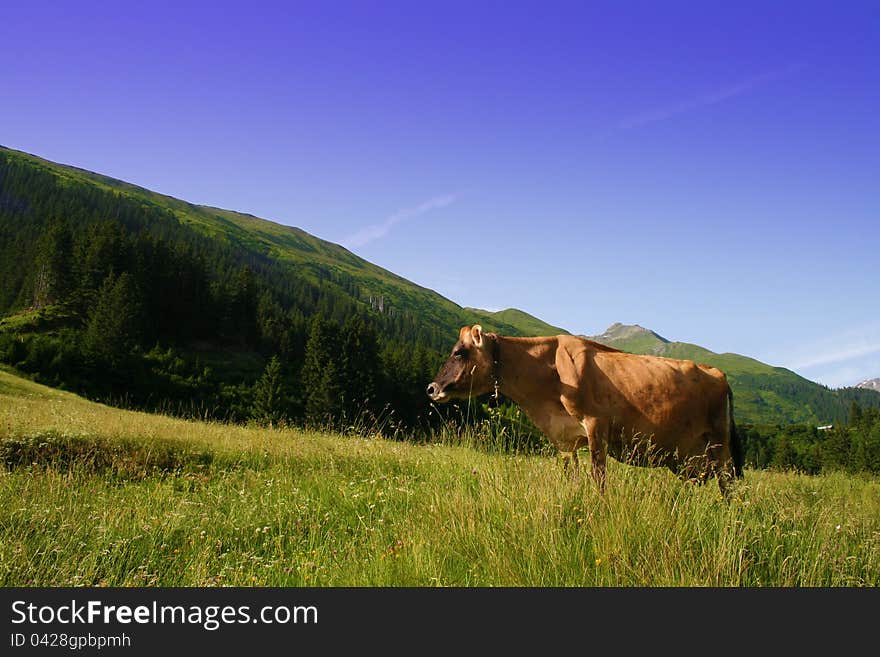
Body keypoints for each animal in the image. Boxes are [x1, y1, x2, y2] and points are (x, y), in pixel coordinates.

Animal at [426, 326, 744, 494]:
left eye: (459, 352)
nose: (431, 388)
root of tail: (718, 373)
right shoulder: (564, 439)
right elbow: (573, 477)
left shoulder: (596, 425)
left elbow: (598, 478)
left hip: (720, 445)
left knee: (727, 487)